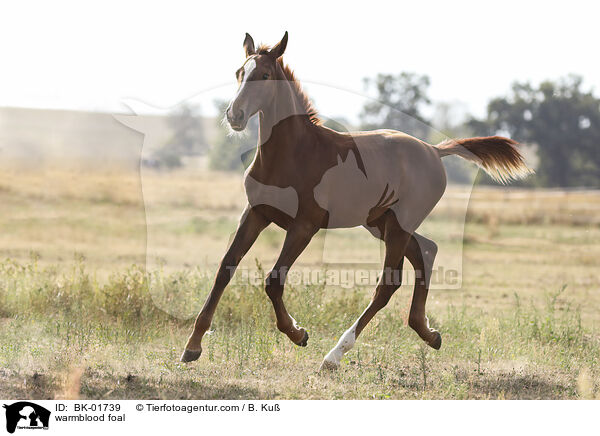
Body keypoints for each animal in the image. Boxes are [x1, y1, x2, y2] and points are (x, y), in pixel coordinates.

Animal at [180, 32, 532, 370]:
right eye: (239, 73)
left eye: (265, 75)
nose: (234, 115)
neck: (292, 153)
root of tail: (434, 150)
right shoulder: (255, 214)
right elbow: (225, 269)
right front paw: (192, 347)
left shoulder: (304, 225)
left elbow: (274, 280)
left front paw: (298, 333)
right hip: (380, 222)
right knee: (426, 251)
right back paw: (428, 333)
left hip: (398, 225)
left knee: (389, 283)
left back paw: (335, 355)